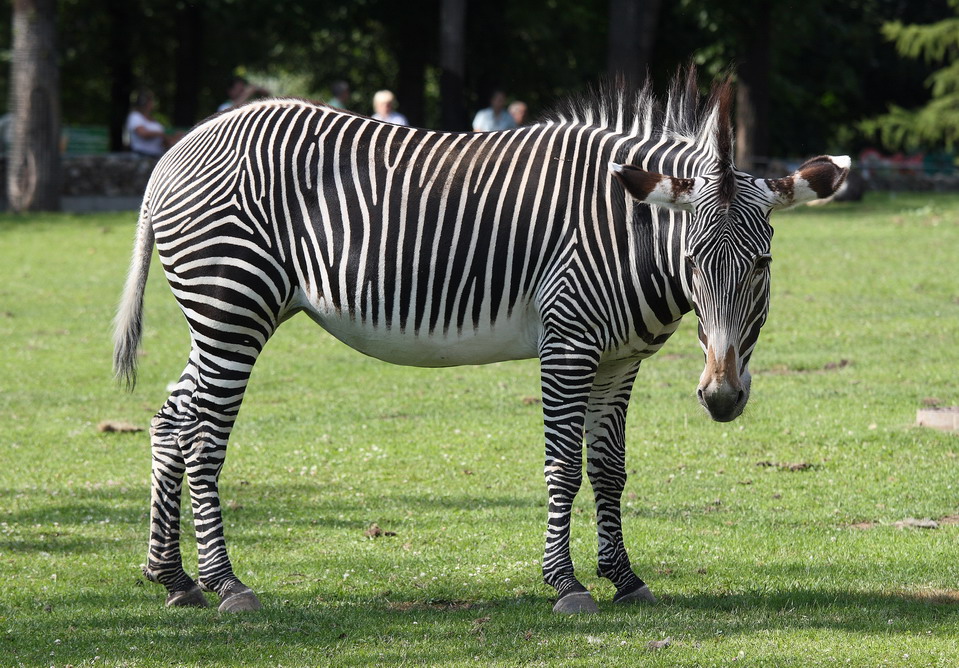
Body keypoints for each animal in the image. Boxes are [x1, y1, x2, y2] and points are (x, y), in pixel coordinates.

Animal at [110, 69, 848, 616]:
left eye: (763, 264)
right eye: (693, 261)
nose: (721, 398)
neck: (630, 234)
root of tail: (177, 151)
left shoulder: (617, 359)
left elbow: (609, 468)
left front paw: (626, 577)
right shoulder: (569, 341)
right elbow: (563, 465)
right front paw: (567, 583)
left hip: (219, 316)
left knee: (172, 419)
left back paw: (172, 577)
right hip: (232, 304)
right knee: (205, 435)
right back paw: (226, 583)